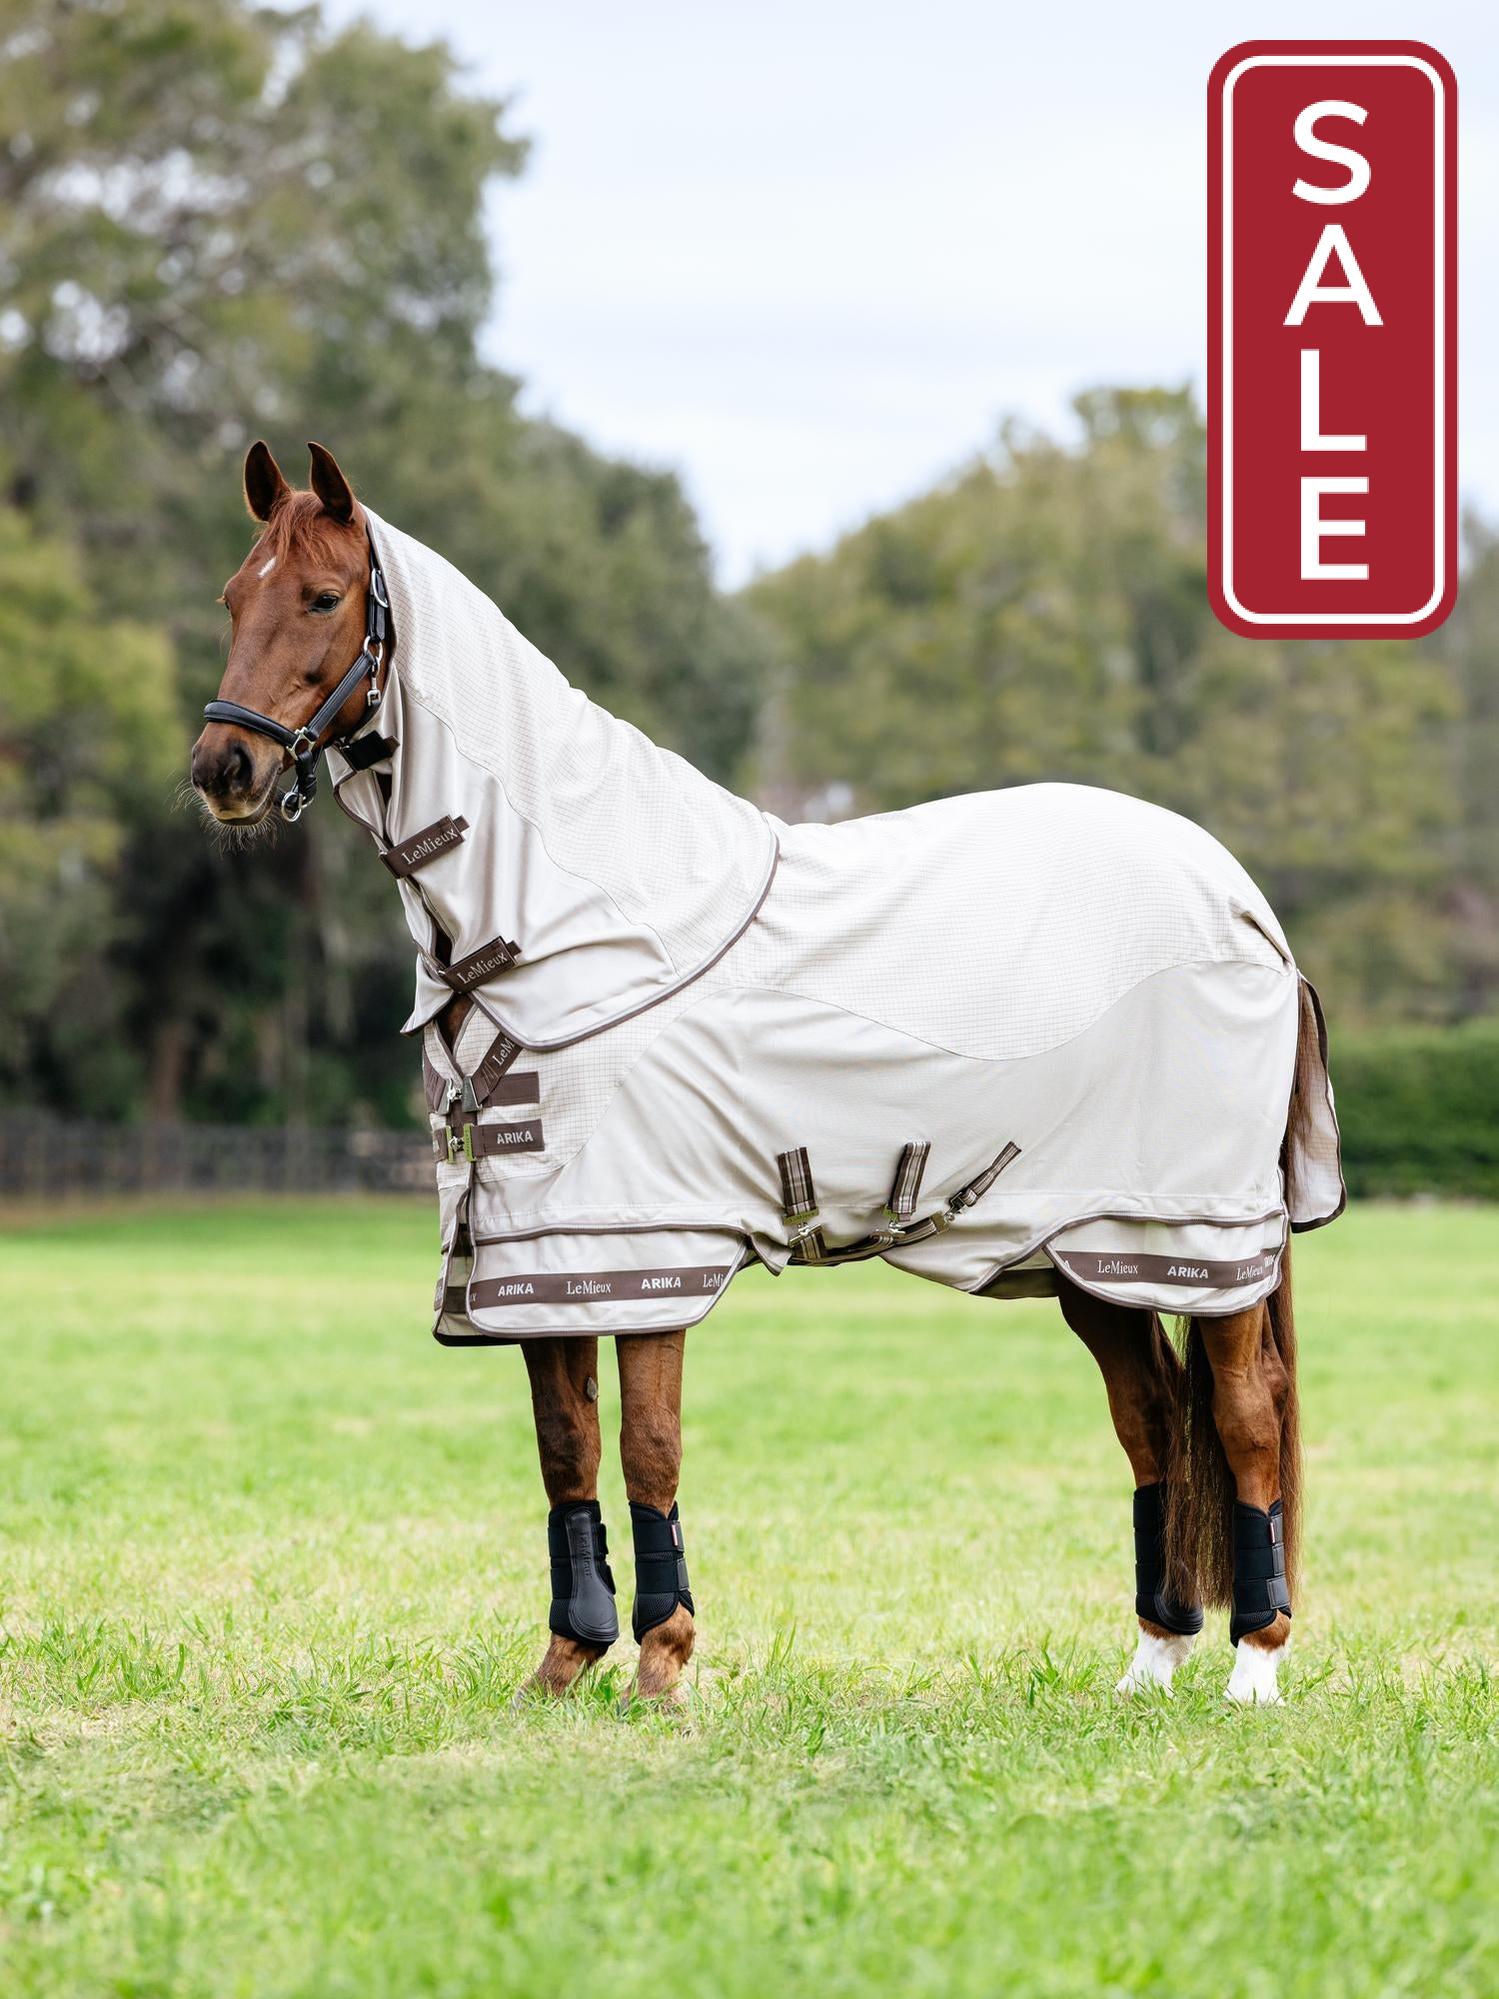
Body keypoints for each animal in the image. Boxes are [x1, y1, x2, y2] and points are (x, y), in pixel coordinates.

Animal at [191, 441, 1343, 1707]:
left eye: (323, 597)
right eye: (233, 598)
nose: (222, 767)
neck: (572, 918)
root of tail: (1242, 905)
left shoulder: (647, 1245)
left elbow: (646, 1445)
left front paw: (661, 1661)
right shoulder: (543, 1261)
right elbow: (564, 1448)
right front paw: (565, 1662)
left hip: (1200, 1239)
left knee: (1240, 1414)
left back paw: (1252, 1663)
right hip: (1093, 1251)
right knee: (1148, 1420)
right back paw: (1151, 1657)